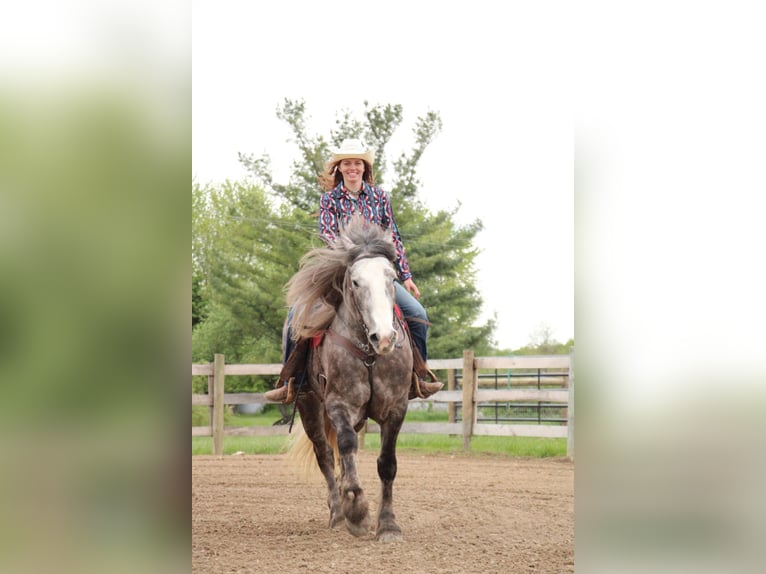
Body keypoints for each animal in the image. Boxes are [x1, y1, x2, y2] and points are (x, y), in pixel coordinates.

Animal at [285, 215, 414, 543]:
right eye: (355, 281)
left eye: (392, 279)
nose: (384, 337)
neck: (369, 353)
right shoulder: (338, 404)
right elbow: (343, 446)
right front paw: (356, 511)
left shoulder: (396, 408)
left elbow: (387, 464)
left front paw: (388, 525)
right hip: (309, 406)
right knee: (326, 456)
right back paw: (338, 511)